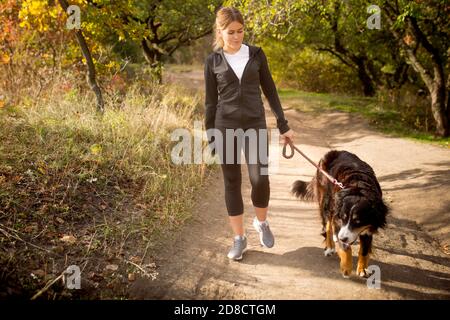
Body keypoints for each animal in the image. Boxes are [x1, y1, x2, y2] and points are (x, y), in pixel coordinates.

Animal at [292, 150, 386, 278]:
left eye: (358, 222)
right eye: (344, 218)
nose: (342, 238)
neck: (358, 188)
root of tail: (335, 151)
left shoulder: (368, 226)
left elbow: (364, 249)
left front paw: (362, 269)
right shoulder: (338, 219)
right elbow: (345, 247)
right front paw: (346, 268)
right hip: (326, 200)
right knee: (327, 224)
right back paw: (330, 246)